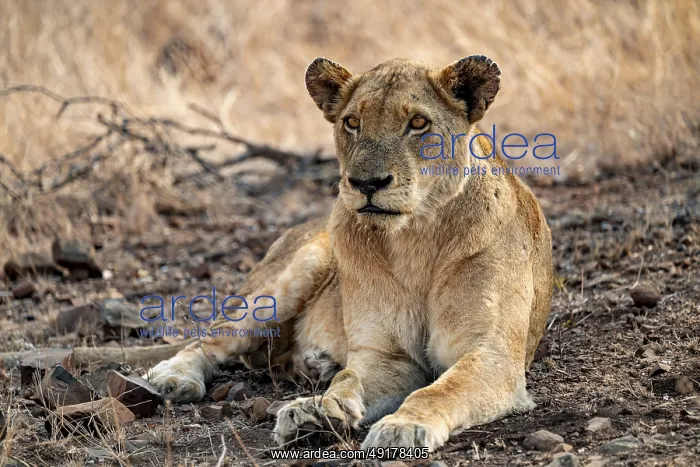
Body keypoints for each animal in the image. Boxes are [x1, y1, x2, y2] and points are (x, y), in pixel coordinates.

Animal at [148, 55, 554, 452]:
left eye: (418, 123)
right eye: (352, 122)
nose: (366, 183)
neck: (415, 238)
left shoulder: (493, 355)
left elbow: (440, 392)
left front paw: (403, 426)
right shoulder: (384, 356)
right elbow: (347, 379)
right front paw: (317, 411)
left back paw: (313, 366)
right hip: (292, 275)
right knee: (213, 339)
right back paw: (173, 378)